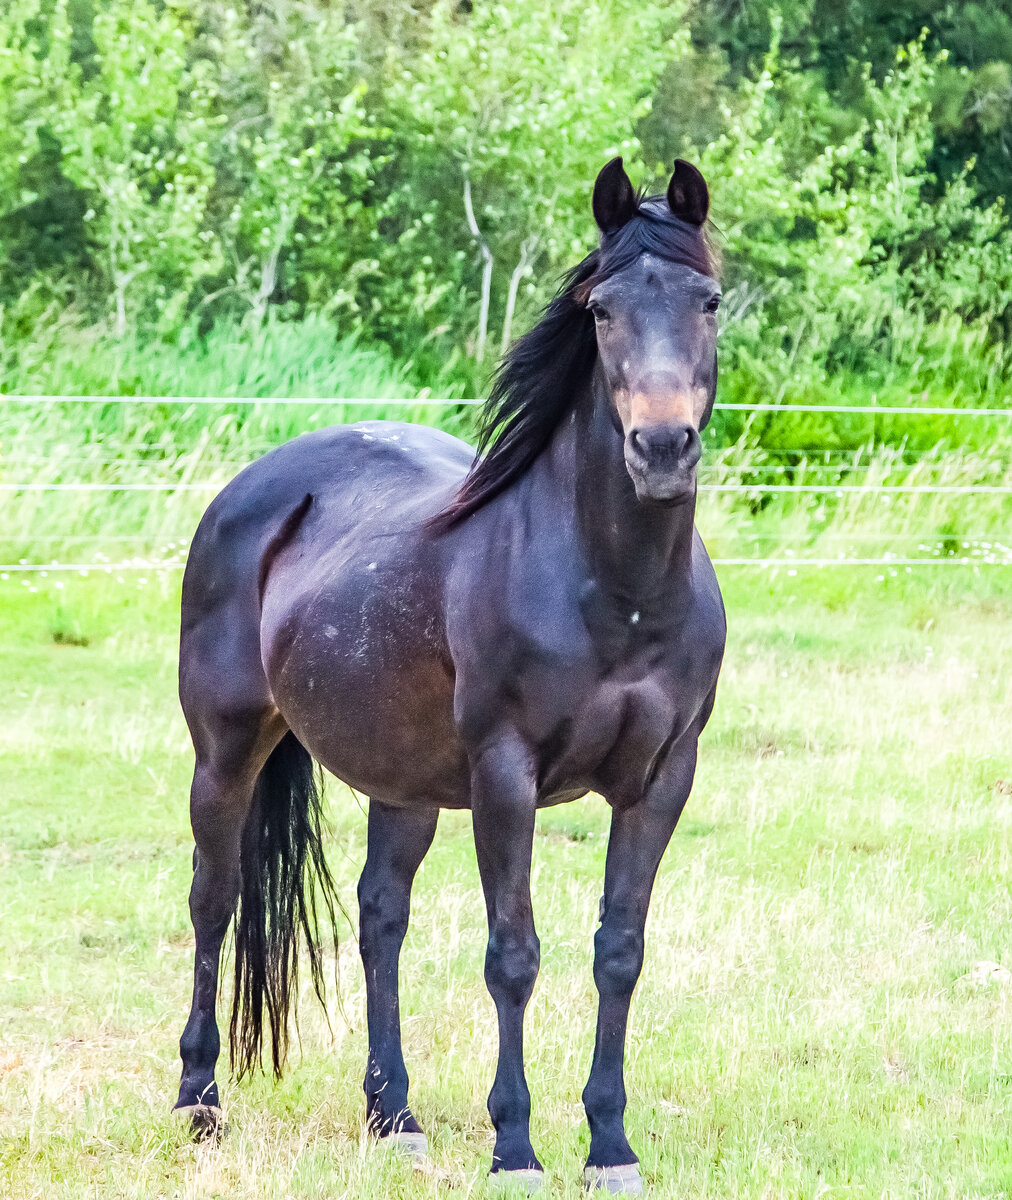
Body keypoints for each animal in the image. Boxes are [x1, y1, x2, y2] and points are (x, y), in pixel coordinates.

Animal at [173, 156, 726, 1195]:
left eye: (709, 300)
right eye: (601, 311)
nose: (662, 448)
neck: (618, 591)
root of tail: (252, 489)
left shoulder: (663, 780)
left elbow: (619, 951)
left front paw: (611, 1144)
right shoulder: (506, 775)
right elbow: (514, 954)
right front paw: (516, 1147)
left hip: (409, 782)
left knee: (379, 916)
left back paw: (394, 1117)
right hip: (226, 753)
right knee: (213, 900)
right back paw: (198, 1102)